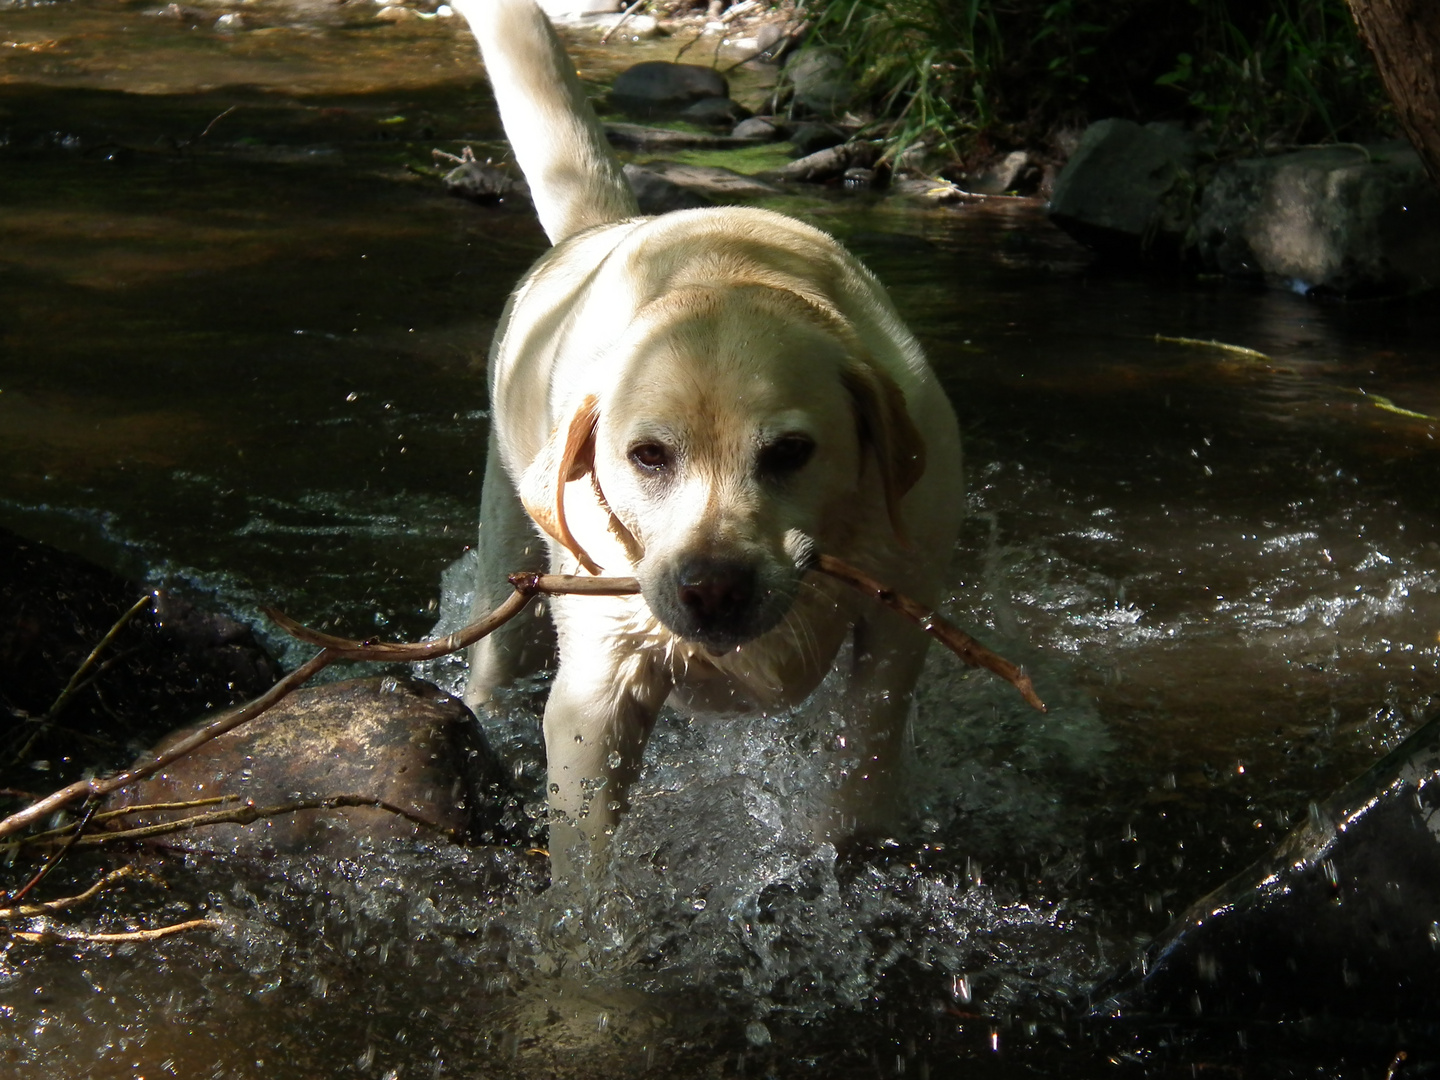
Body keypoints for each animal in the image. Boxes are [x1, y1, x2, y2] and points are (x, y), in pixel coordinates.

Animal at [455, 0, 961, 881]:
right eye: (648, 456)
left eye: (790, 452)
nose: (713, 589)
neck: (724, 278)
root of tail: (609, 223)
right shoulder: (596, 691)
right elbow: (585, 863)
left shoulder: (903, 619)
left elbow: (863, 762)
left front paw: (846, 850)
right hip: (507, 540)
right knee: (496, 642)